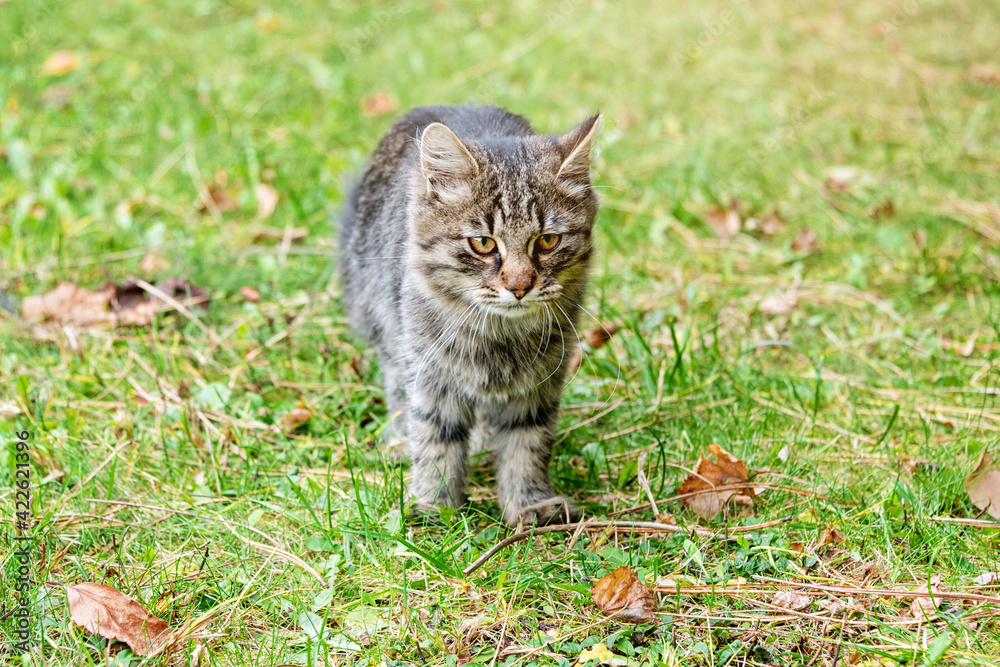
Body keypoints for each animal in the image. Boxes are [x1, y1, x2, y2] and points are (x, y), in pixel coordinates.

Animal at [340, 104, 596, 528]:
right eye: (482, 243)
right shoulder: (429, 376)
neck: (499, 338)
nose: (520, 285)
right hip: (386, 326)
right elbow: (435, 440)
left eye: (547, 241)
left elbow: (527, 445)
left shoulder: (539, 385)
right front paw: (435, 505)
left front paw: (528, 504)